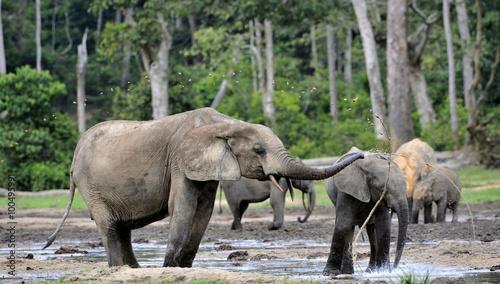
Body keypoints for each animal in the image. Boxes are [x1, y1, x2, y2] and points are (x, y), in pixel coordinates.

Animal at [43, 107, 364, 268]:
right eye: (259, 150)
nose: (361, 153)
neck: (225, 123)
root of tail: (74, 157)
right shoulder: (180, 160)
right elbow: (183, 208)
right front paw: (169, 270)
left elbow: (204, 211)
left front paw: (182, 269)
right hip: (88, 182)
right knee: (109, 224)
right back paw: (117, 269)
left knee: (122, 227)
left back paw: (132, 270)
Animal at [322, 148, 408, 276]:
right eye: (383, 190)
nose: (394, 268)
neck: (371, 165)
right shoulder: (347, 189)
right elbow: (343, 224)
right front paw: (329, 273)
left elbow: (383, 225)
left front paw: (383, 271)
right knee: (349, 228)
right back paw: (348, 272)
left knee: (372, 232)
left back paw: (371, 270)